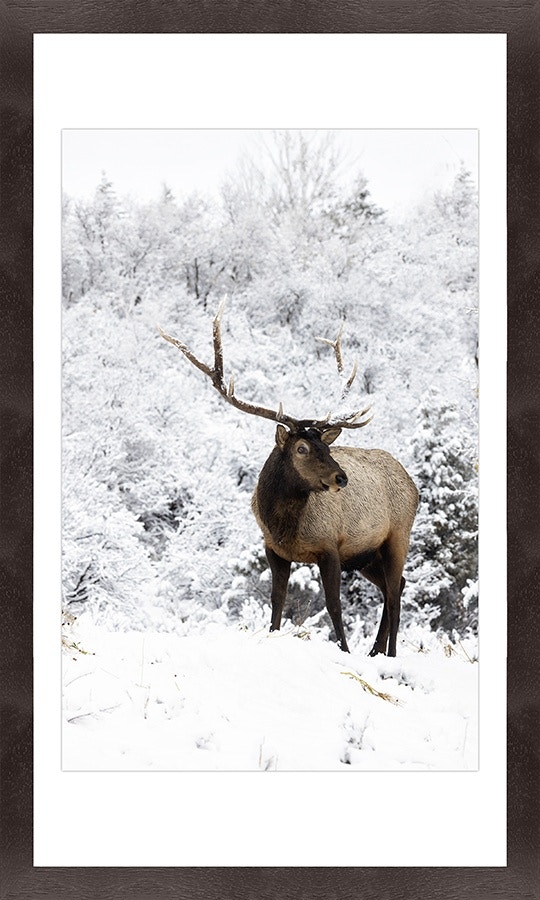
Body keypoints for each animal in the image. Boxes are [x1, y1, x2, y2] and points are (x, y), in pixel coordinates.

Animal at [160, 300, 418, 656]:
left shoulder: (330, 546)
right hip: (367, 555)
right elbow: (276, 600)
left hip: (398, 536)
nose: (341, 477)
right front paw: (273, 634)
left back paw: (389, 654)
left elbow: (334, 604)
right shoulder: (274, 550)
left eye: (326, 445)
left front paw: (344, 650)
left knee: (394, 593)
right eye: (301, 448)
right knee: (396, 587)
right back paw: (375, 650)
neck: (285, 526)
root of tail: (414, 485)